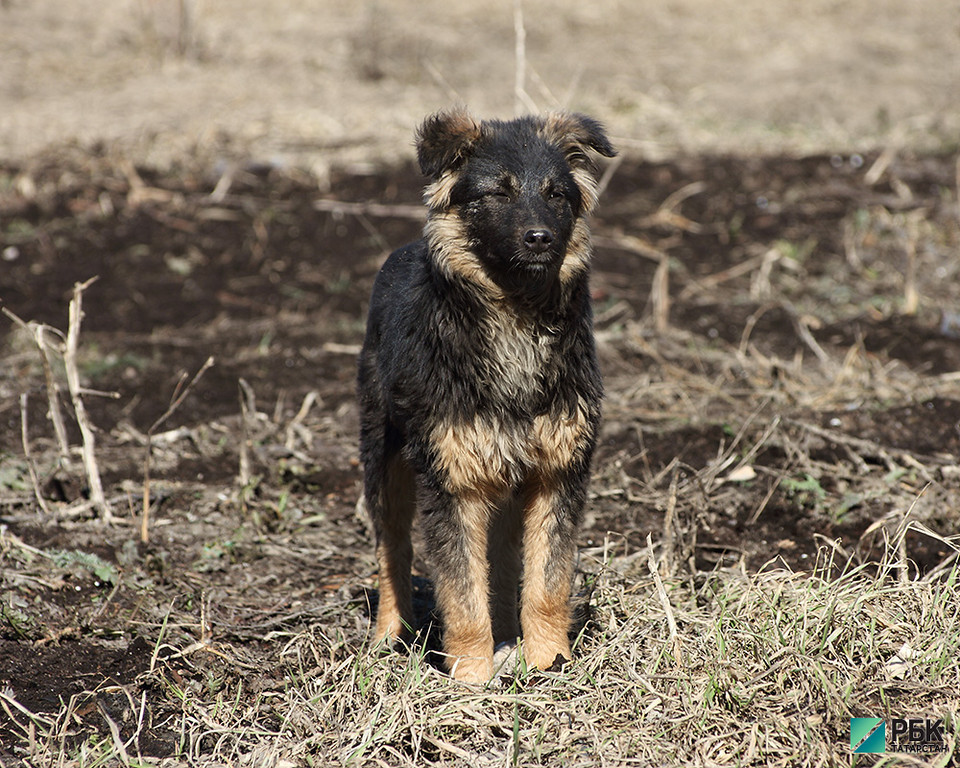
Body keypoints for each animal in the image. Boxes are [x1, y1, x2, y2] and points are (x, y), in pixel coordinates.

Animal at [358, 108, 616, 684]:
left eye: (556, 194)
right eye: (498, 192)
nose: (541, 238)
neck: (514, 313)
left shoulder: (557, 473)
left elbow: (546, 582)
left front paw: (549, 661)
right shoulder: (453, 481)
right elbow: (462, 591)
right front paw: (471, 676)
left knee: (500, 560)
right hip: (384, 457)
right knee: (393, 548)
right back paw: (390, 634)